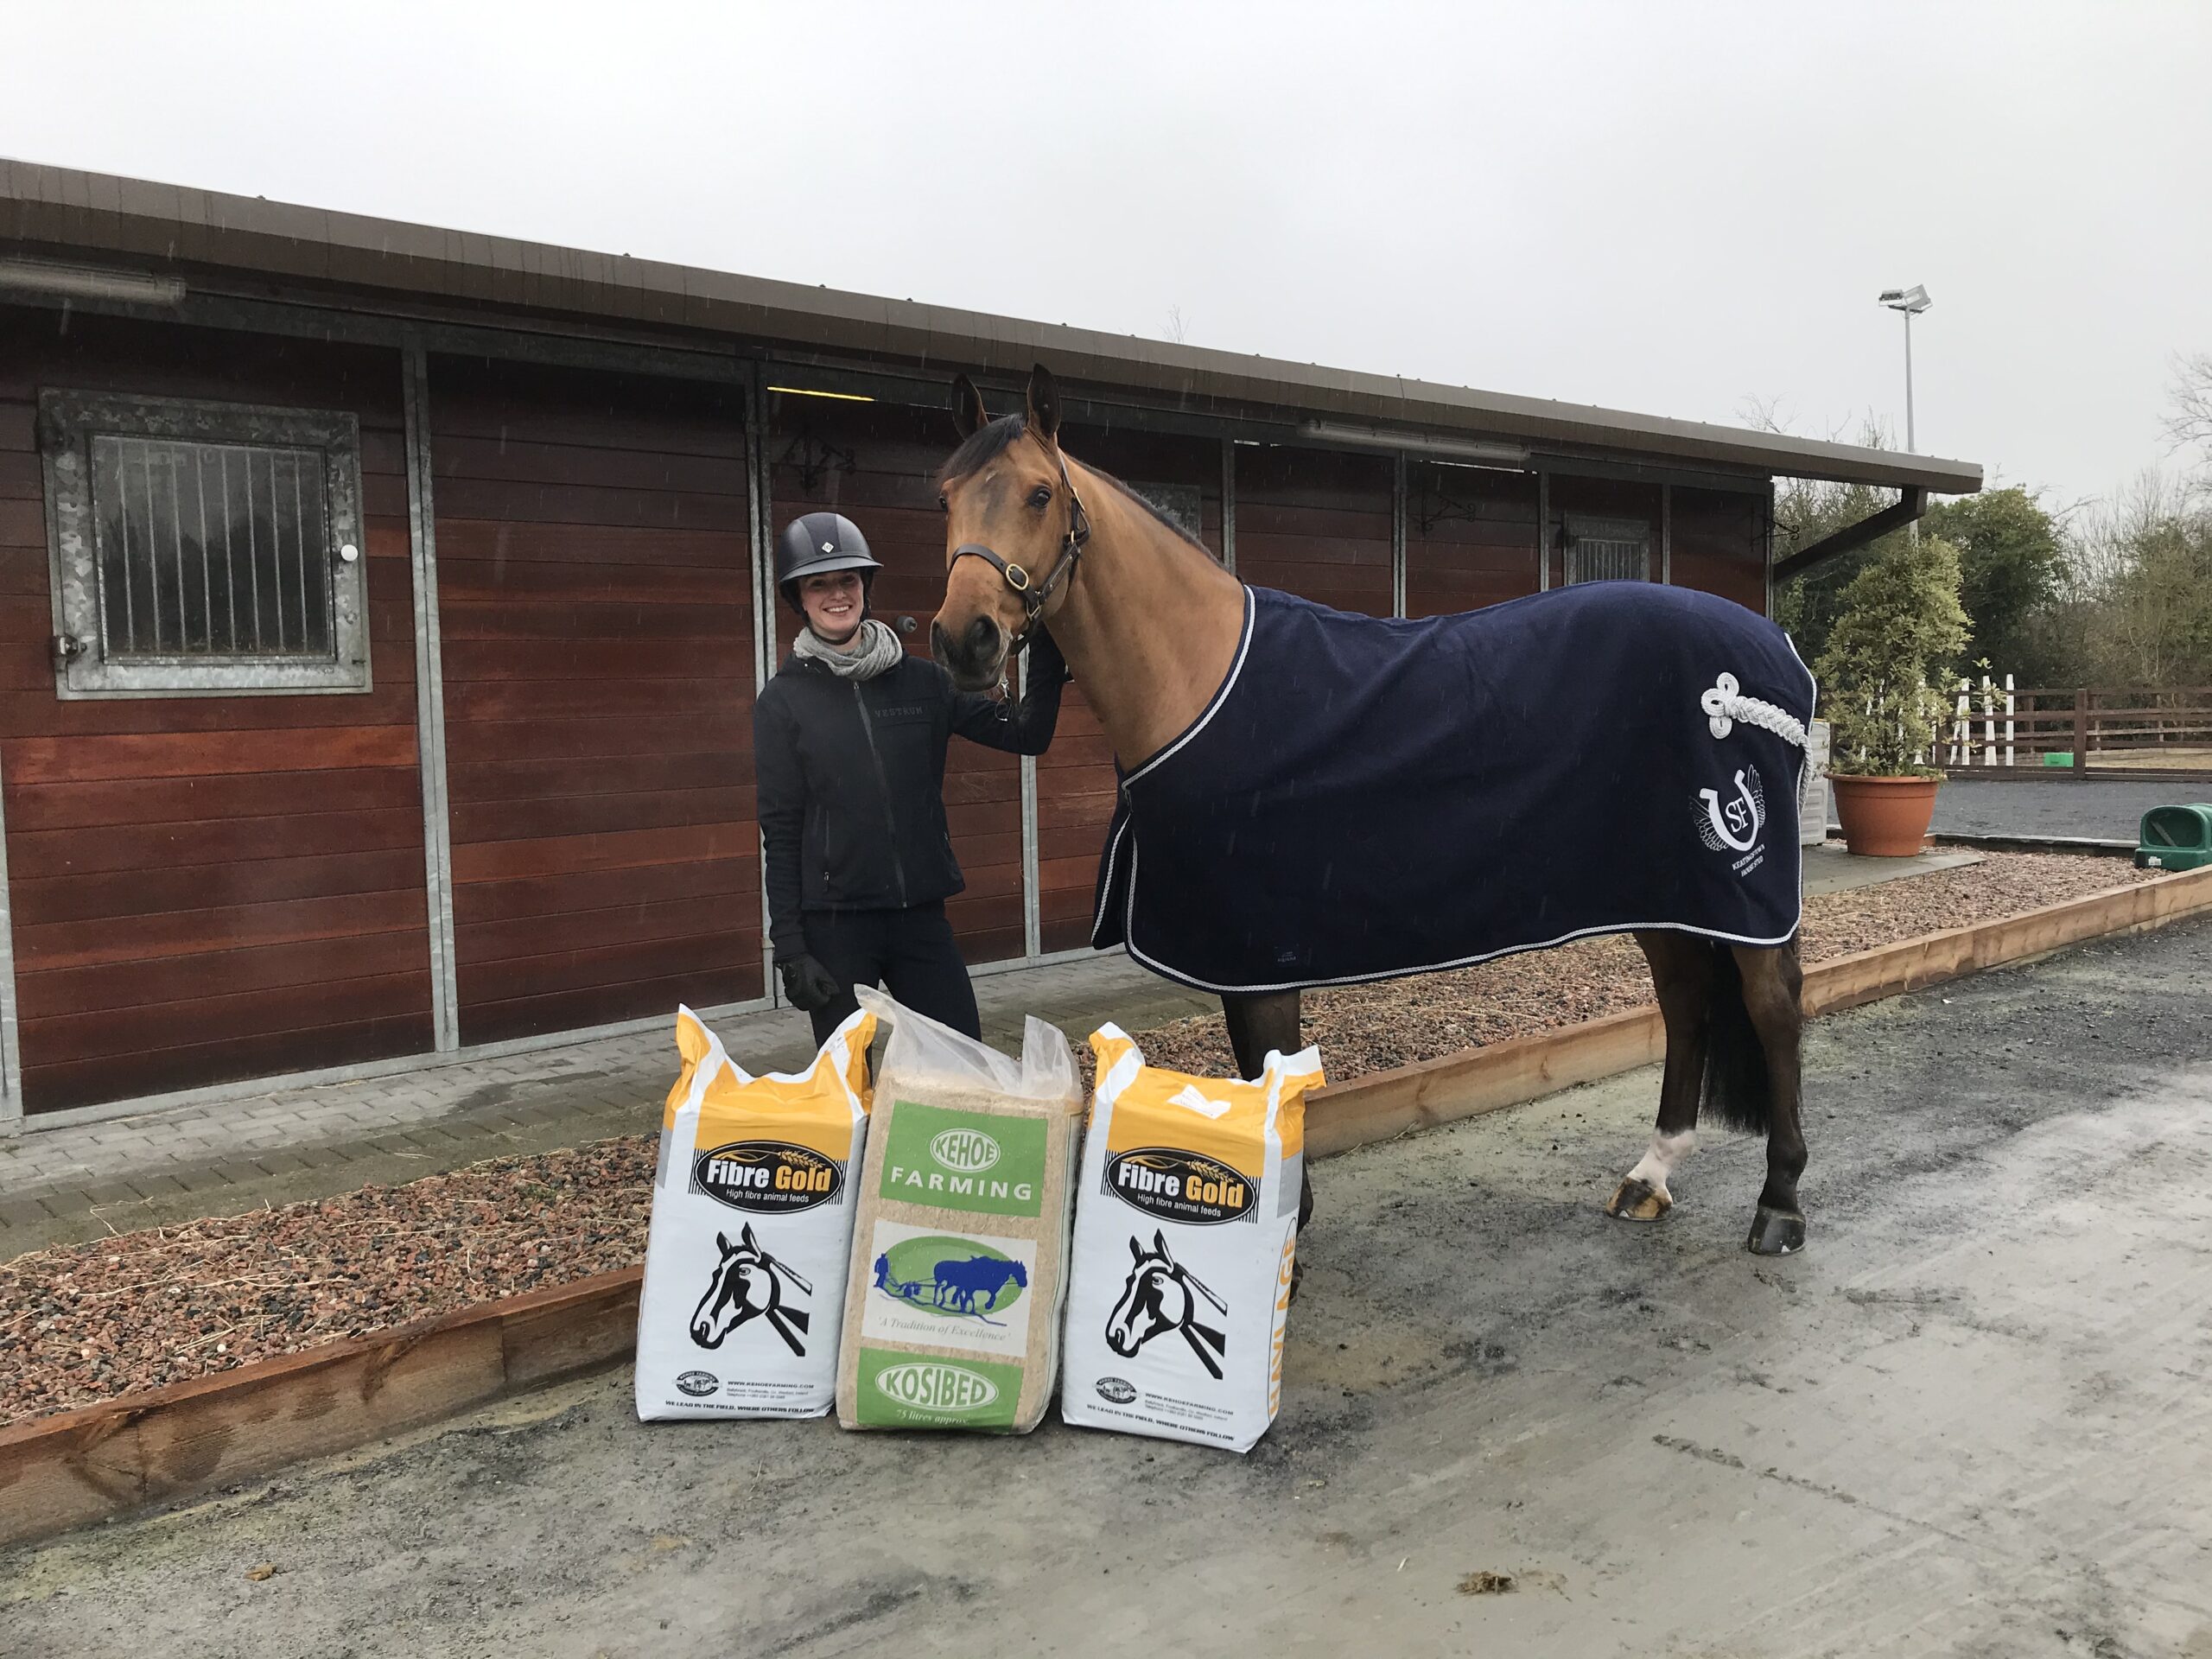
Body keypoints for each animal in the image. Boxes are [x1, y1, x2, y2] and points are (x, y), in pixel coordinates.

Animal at [933, 362, 1814, 1256]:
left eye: (1040, 494)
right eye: (945, 497)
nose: (964, 638)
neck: (1200, 679)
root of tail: (1775, 647)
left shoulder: (1257, 945)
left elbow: (1270, 1066)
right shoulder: (1236, 951)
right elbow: (1259, 1071)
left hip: (1741, 889)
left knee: (1774, 1008)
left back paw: (1779, 1202)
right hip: (1667, 893)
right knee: (1685, 1001)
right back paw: (1650, 1175)